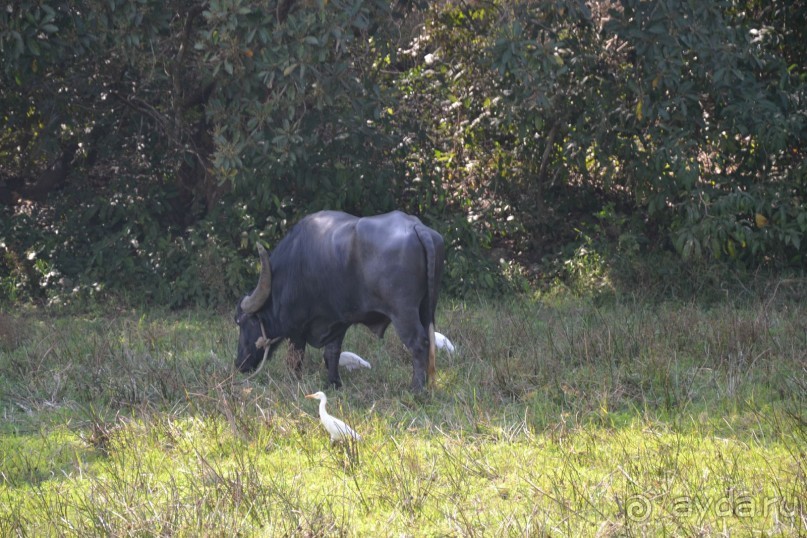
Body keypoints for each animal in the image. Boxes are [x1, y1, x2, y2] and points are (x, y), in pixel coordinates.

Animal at [234, 209, 448, 390]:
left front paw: (294, 380)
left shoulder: (296, 328)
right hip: (427, 308)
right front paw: (334, 383)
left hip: (403, 313)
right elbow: (332, 352)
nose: (239, 364)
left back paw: (417, 389)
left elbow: (296, 357)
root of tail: (417, 227)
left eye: (242, 322)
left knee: (418, 343)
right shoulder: (336, 320)